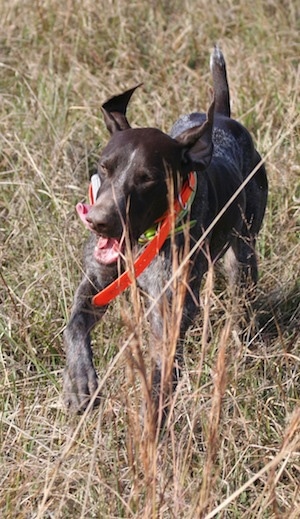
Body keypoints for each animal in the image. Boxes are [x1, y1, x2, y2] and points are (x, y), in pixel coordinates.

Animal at [62, 46, 268, 416]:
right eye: (104, 167)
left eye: (147, 178)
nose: (98, 220)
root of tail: (223, 118)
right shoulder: (97, 283)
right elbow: (74, 326)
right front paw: (79, 382)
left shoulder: (170, 310)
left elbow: (161, 371)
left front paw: (155, 415)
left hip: (243, 254)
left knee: (243, 295)